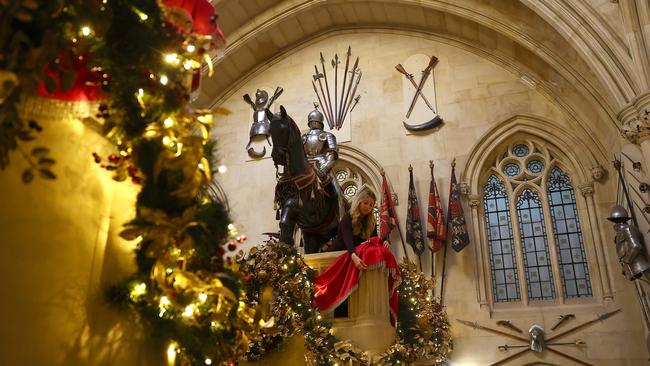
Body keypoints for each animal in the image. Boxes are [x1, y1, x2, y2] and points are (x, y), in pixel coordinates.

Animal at [264, 106, 340, 253]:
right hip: (314, 237)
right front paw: (285, 246)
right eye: (270, 131)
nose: (277, 156)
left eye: (284, 129)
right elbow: (284, 223)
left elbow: (332, 153)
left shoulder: (311, 211)